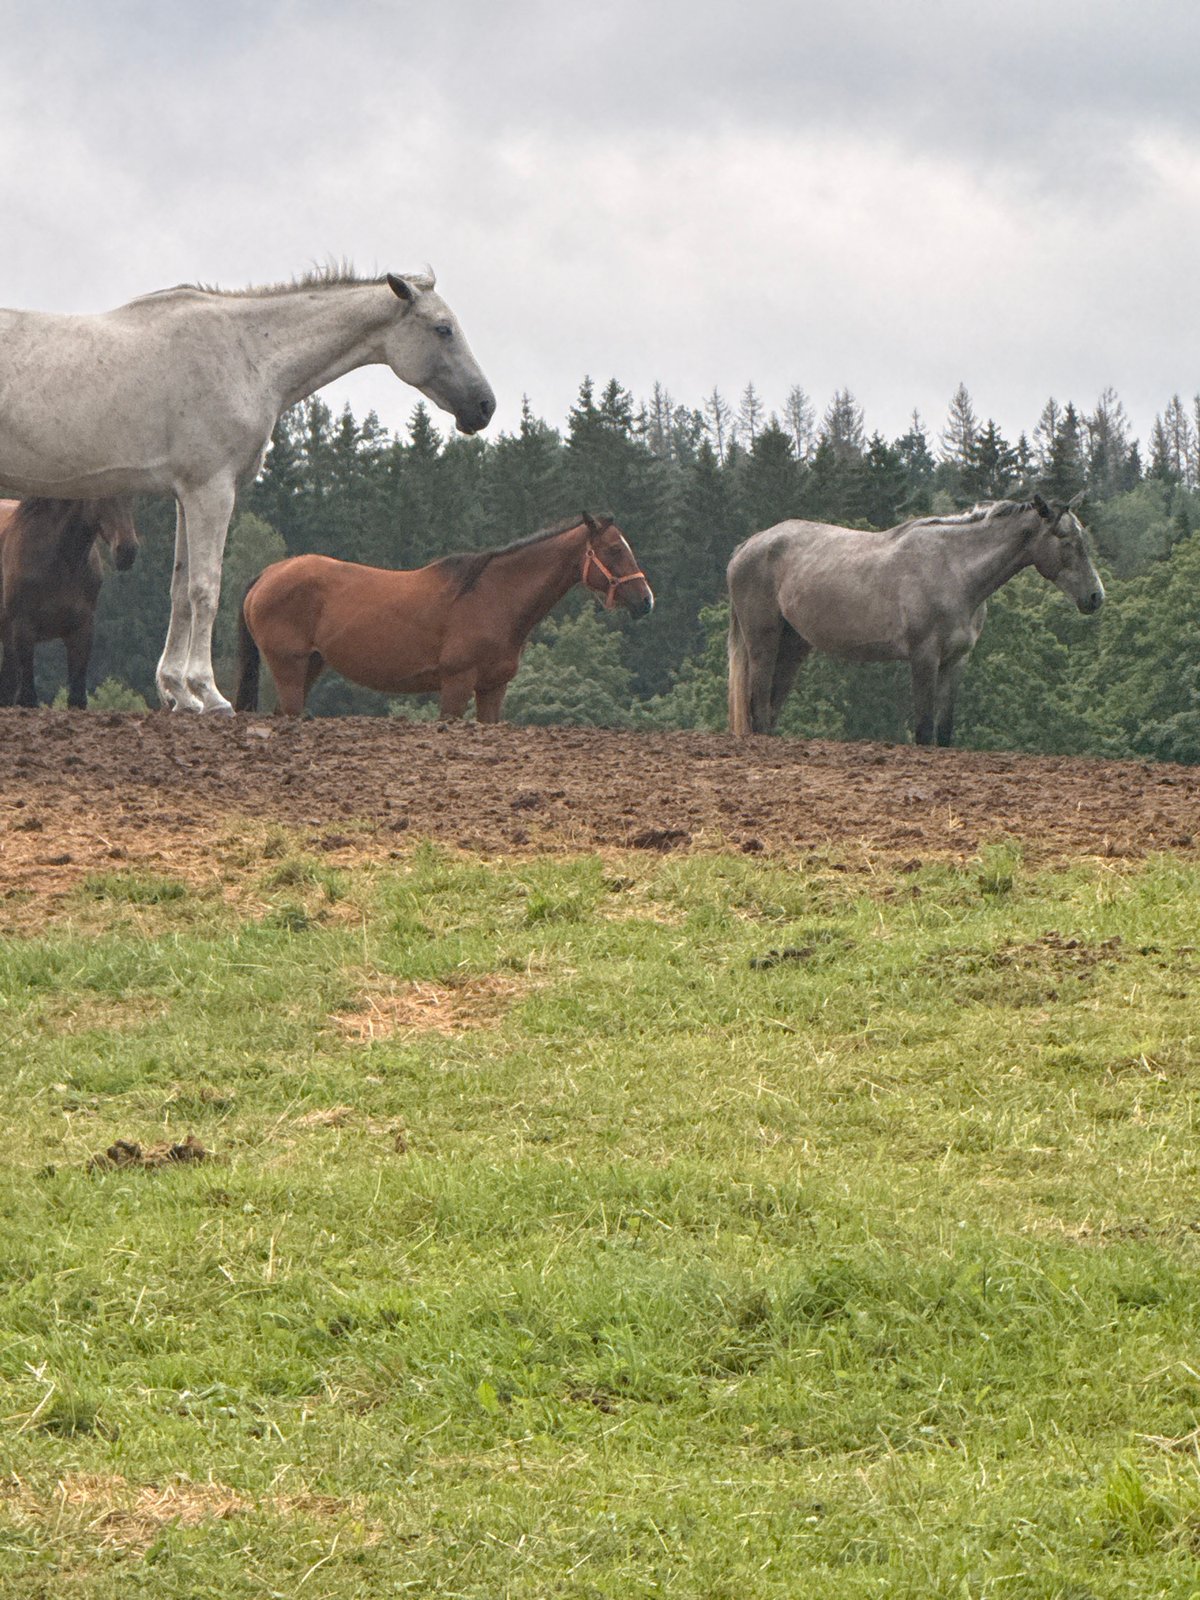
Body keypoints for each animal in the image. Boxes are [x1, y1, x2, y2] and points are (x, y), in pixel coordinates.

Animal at [0, 497, 139, 709]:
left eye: (130, 497)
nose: (127, 551)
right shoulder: (23, 629)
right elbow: (27, 699)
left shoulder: (81, 629)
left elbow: (77, 699)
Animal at [234, 512, 653, 719]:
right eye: (615, 549)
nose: (645, 600)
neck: (492, 596)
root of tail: (268, 574)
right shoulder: (456, 684)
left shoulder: (492, 689)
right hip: (289, 667)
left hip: (311, 665)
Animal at [727, 493, 1104, 745]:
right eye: (1066, 540)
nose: (1095, 597)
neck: (954, 570)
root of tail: (747, 546)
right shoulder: (924, 656)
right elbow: (923, 730)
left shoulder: (955, 660)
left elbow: (944, 730)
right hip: (763, 643)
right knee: (758, 704)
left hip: (793, 648)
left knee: (769, 707)